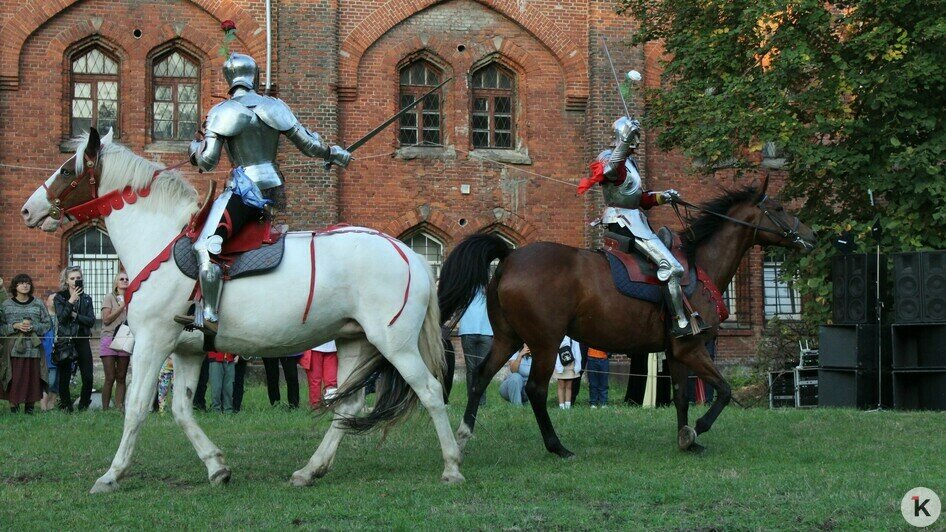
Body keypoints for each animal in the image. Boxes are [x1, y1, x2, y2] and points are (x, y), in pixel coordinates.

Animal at [20, 128, 462, 490]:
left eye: (66, 170)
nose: (28, 209)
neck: (161, 239)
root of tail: (411, 255)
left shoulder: (151, 342)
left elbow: (136, 407)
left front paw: (112, 475)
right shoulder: (186, 350)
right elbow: (181, 408)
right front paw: (216, 467)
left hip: (395, 344)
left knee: (430, 391)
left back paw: (452, 465)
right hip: (355, 340)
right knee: (347, 405)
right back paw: (309, 470)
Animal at [436, 179, 812, 458]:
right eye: (779, 208)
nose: (812, 236)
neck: (700, 266)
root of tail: (509, 258)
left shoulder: (677, 352)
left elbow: (681, 395)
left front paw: (685, 437)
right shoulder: (692, 348)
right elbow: (723, 389)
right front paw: (696, 429)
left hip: (508, 338)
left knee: (480, 376)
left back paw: (463, 436)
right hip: (545, 342)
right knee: (535, 390)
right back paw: (558, 447)